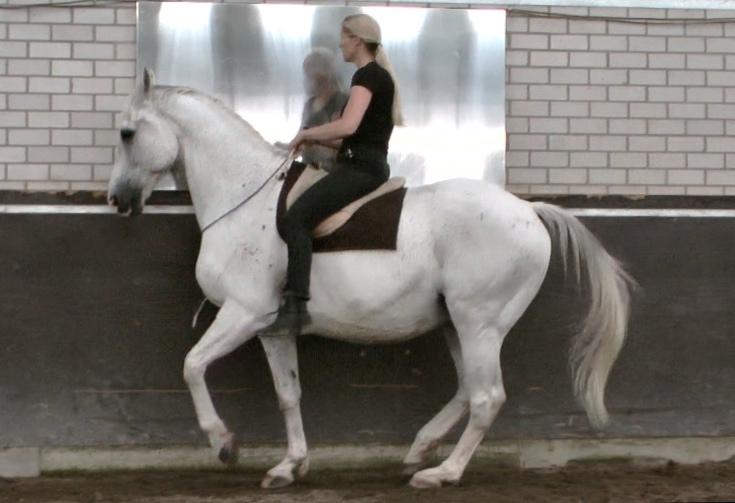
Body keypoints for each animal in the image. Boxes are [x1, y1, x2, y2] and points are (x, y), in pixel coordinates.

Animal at [108, 69, 633, 489]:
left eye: (128, 133)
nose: (117, 199)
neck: (244, 197)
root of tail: (529, 210)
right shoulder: (271, 329)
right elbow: (287, 395)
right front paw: (289, 466)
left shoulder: (243, 314)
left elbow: (192, 366)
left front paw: (224, 444)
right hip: (457, 324)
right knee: (468, 388)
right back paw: (420, 449)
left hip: (479, 323)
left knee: (487, 397)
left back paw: (441, 473)